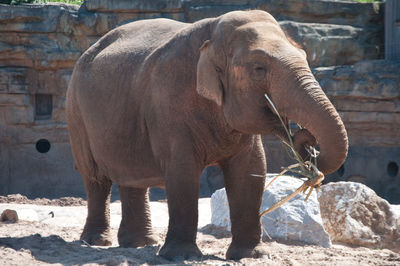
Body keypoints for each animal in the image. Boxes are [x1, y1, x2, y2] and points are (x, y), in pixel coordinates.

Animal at [66, 9, 346, 260]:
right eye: (259, 68)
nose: (305, 140)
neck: (212, 35)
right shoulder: (168, 101)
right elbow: (182, 170)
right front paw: (181, 256)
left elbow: (251, 169)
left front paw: (252, 255)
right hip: (76, 110)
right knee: (95, 177)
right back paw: (97, 241)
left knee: (132, 177)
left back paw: (139, 244)